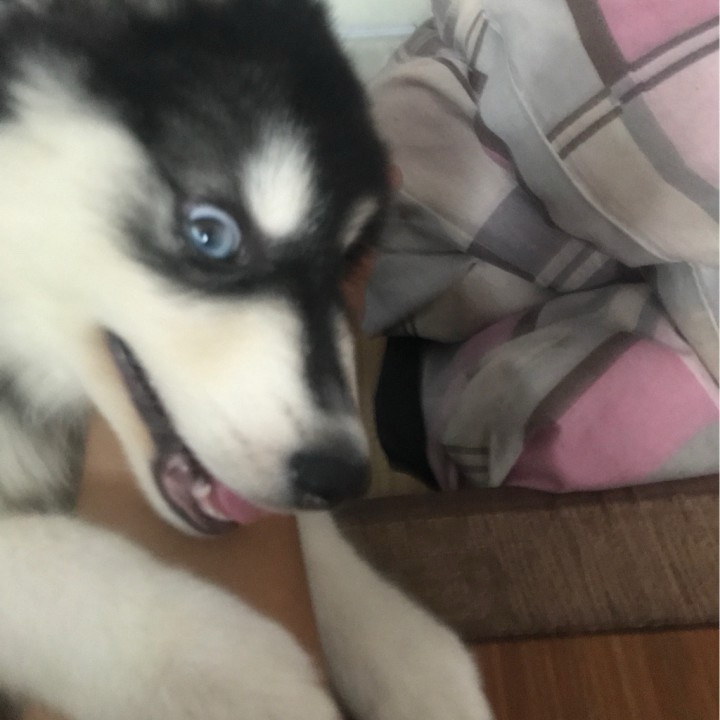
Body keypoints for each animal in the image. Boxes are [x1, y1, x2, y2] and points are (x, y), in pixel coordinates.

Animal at [0, 1, 494, 718]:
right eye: (211, 234)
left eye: (349, 260)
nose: (344, 477)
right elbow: (54, 566)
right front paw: (233, 674)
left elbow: (319, 552)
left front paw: (412, 663)